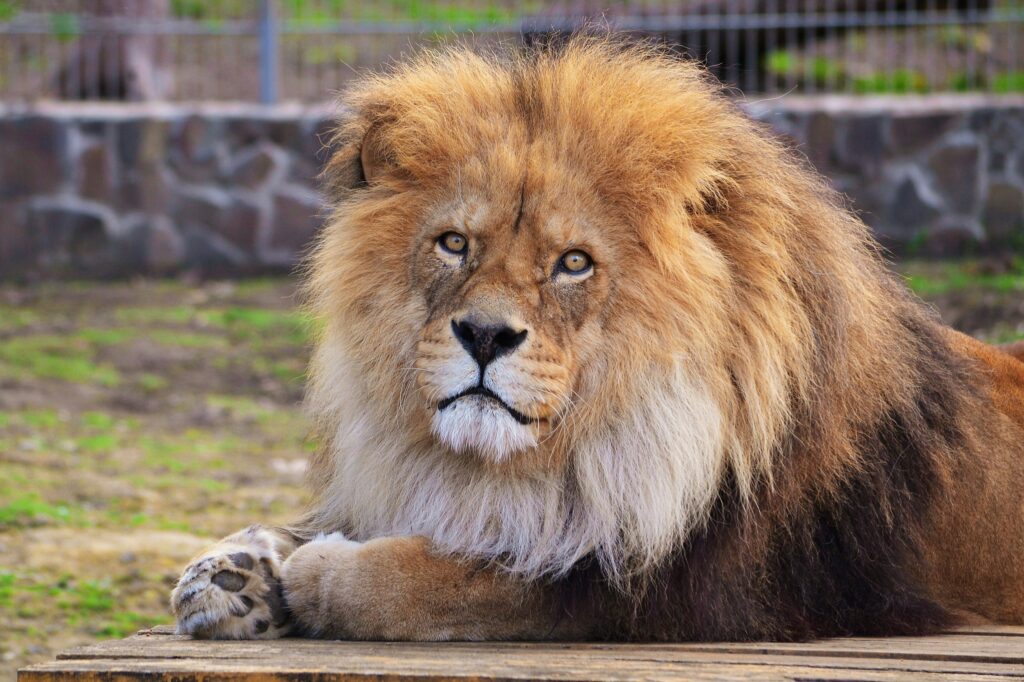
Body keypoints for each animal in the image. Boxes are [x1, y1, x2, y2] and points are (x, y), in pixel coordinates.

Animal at [170, 37, 1024, 642]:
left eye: (573, 263)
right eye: (454, 244)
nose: (484, 334)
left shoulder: (667, 587)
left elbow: (441, 580)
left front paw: (315, 573)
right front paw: (234, 572)